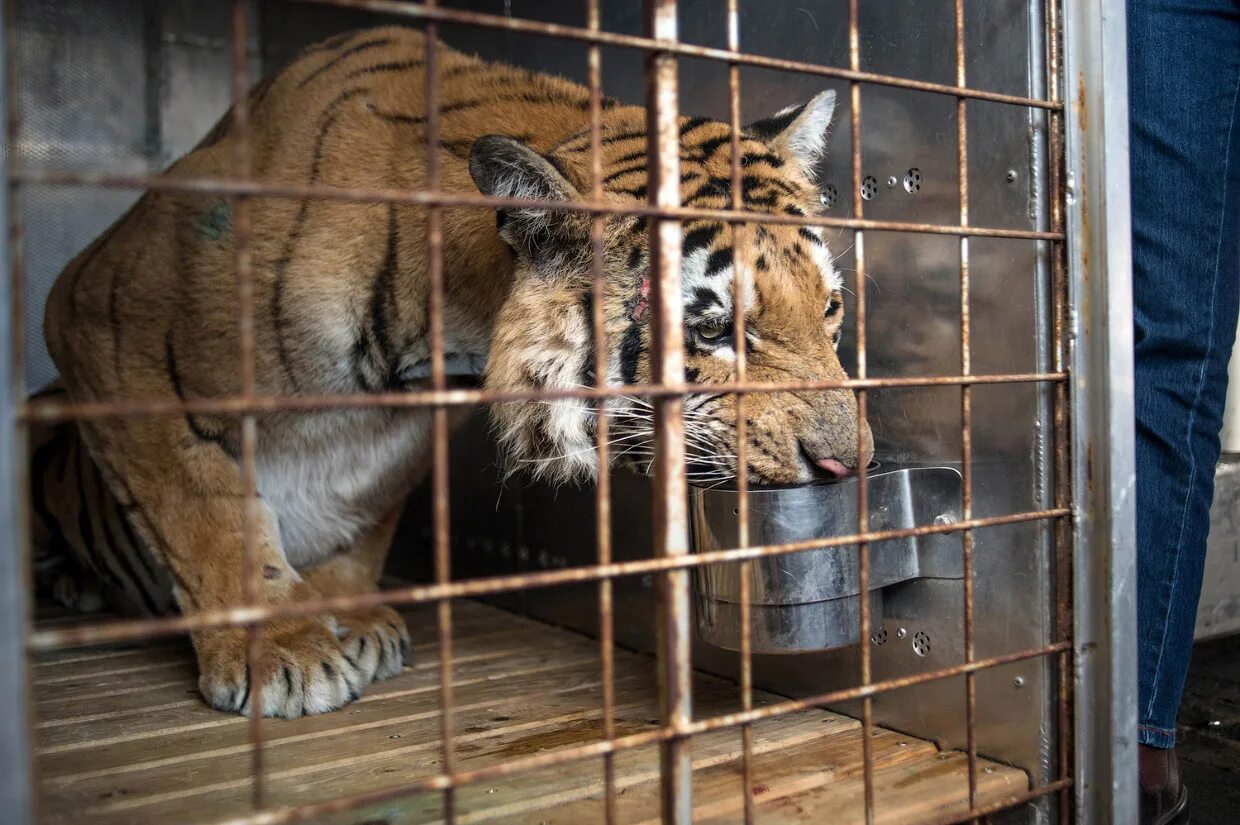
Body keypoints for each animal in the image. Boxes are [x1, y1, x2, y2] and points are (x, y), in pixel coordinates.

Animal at [36, 27, 872, 714]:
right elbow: (204, 509)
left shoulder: (398, 441)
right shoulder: (98, 315)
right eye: (716, 329)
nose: (852, 463)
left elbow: (360, 519)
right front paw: (283, 647)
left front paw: (351, 614)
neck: (447, 330)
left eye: (830, 308)